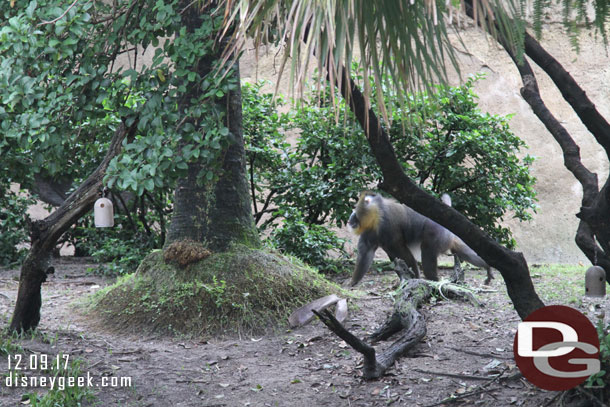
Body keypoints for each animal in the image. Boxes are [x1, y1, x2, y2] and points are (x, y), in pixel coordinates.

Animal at [344, 191, 492, 286]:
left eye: (355, 208)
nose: (351, 216)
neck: (376, 214)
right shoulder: (370, 234)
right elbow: (366, 255)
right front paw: (352, 283)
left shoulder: (389, 229)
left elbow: (404, 254)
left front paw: (414, 279)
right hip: (450, 238)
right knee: (464, 252)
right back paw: (488, 267)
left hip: (437, 236)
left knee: (427, 254)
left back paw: (434, 281)